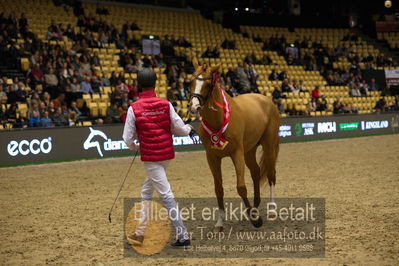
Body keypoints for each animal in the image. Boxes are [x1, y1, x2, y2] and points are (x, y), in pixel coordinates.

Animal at [190, 57, 278, 231]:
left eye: (208, 83)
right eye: (191, 81)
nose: (194, 107)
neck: (219, 120)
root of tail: (266, 99)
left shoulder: (237, 153)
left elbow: (241, 187)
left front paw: (255, 220)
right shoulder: (212, 158)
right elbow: (218, 189)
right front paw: (220, 222)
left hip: (269, 145)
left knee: (271, 175)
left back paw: (271, 210)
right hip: (249, 151)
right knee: (256, 172)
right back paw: (255, 208)